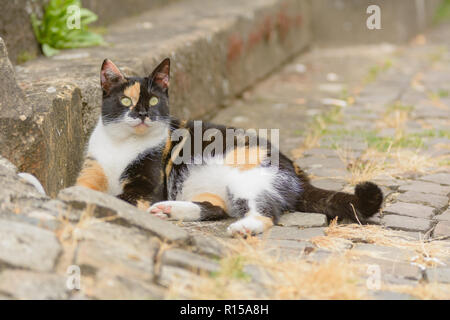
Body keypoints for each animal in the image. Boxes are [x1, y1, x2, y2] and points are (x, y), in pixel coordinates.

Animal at [76, 58, 384, 235]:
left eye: (153, 101)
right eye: (125, 101)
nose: (142, 114)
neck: (122, 144)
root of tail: (297, 172)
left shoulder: (145, 187)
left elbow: (119, 199)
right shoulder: (91, 168)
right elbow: (82, 189)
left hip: (250, 177)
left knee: (265, 211)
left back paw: (243, 227)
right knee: (216, 207)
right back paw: (170, 210)